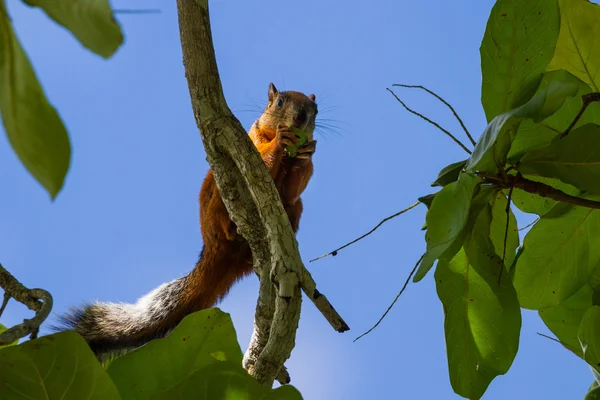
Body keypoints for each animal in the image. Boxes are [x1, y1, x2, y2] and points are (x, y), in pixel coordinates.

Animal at [58, 82, 318, 360]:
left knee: (292, 204)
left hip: (294, 211)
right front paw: (281, 140)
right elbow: (261, 161)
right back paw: (233, 228)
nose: (300, 118)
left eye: (315, 108)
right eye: (280, 102)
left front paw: (307, 152)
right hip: (218, 198)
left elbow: (292, 190)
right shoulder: (250, 142)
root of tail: (214, 249)